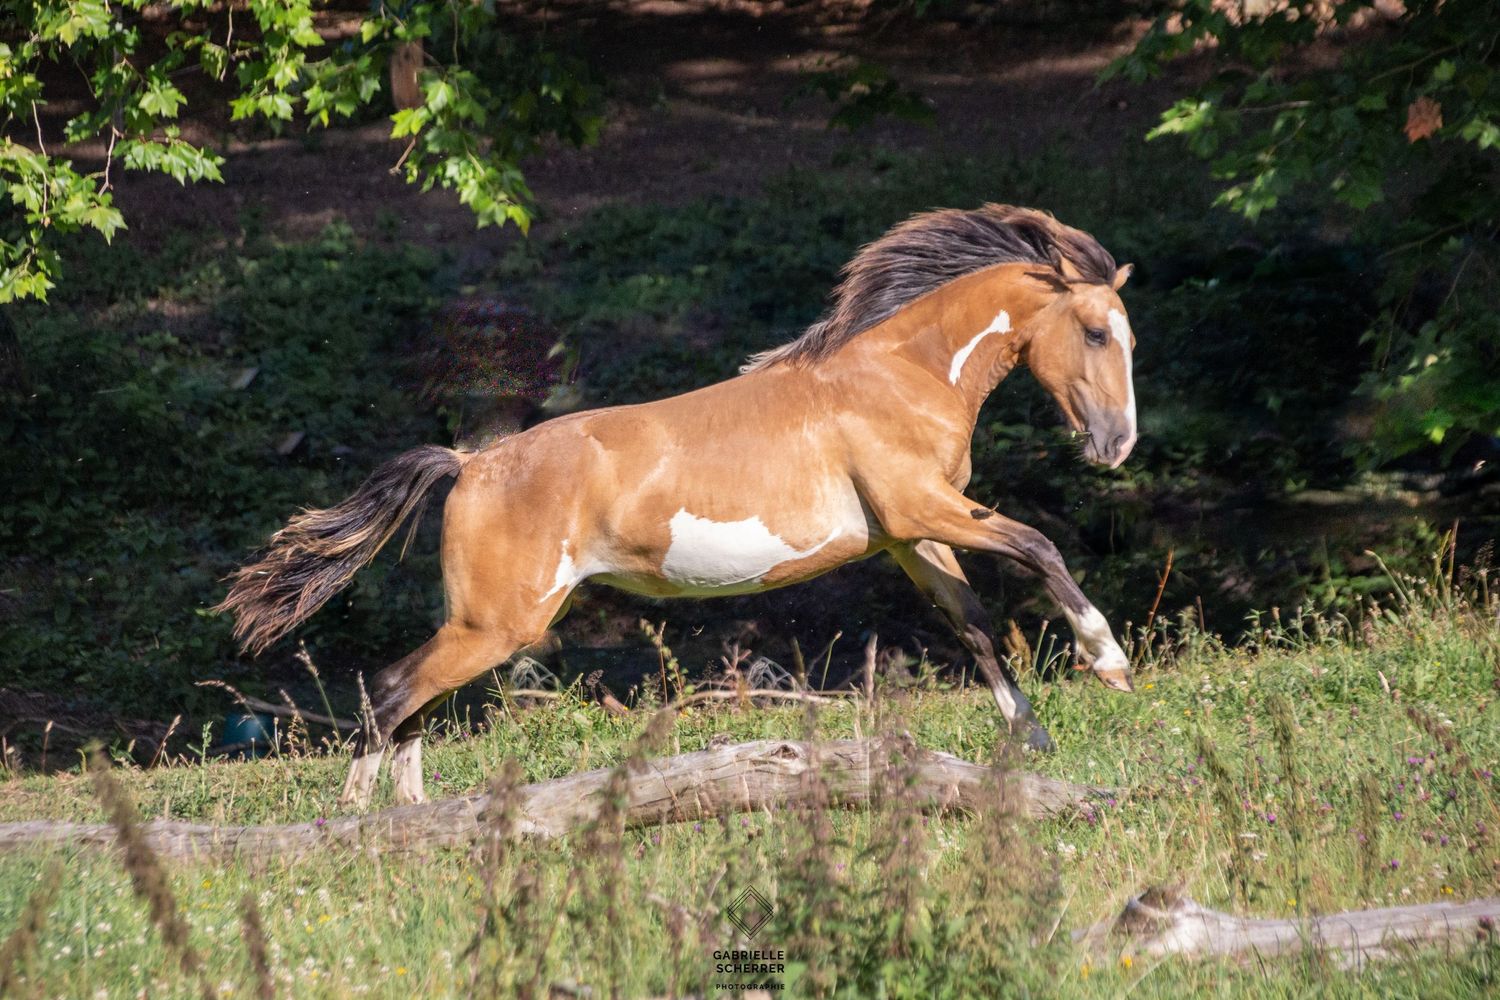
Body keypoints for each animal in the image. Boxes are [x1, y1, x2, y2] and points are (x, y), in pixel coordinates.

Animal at [218, 203, 1140, 809]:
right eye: (1096, 332)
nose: (1117, 444)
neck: (898, 377)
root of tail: (471, 463)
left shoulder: (912, 538)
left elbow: (975, 625)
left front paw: (1033, 739)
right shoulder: (927, 511)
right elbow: (1039, 546)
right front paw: (1108, 659)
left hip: (481, 625)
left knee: (414, 705)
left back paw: (416, 819)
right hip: (498, 625)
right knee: (390, 692)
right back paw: (359, 822)